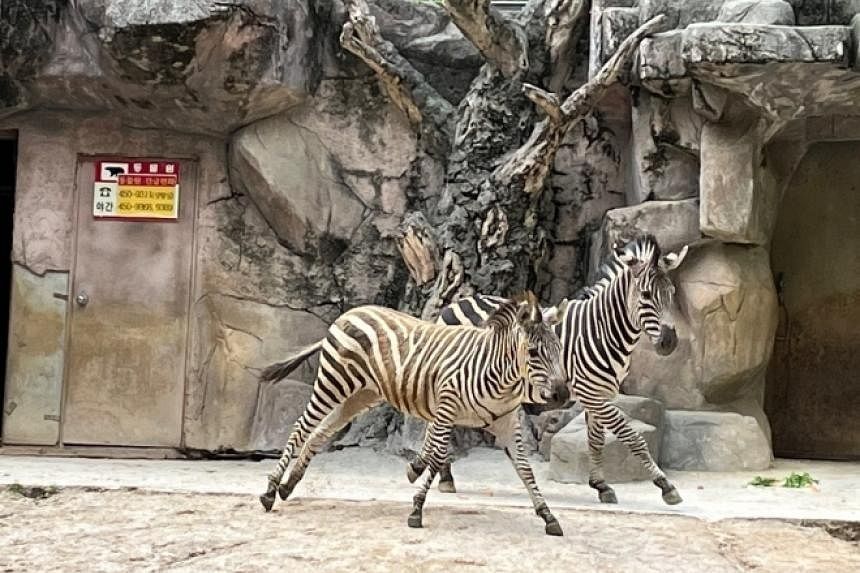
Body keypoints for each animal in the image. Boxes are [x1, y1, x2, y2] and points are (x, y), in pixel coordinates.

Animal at [257, 292, 571, 536]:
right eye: (533, 352)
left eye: (559, 349)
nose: (562, 395)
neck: (500, 378)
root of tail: (351, 312)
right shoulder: (446, 410)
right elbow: (437, 457)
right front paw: (417, 509)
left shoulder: (506, 424)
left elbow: (526, 470)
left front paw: (547, 515)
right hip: (334, 382)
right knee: (301, 427)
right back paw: (271, 491)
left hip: (360, 396)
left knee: (322, 431)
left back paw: (288, 486)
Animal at [434, 235, 689, 506]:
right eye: (646, 294)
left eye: (671, 293)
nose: (669, 342)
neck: (603, 330)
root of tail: (454, 304)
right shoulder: (591, 393)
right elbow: (631, 436)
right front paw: (666, 486)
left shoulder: (601, 394)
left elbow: (596, 439)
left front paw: (601, 486)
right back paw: (446, 478)